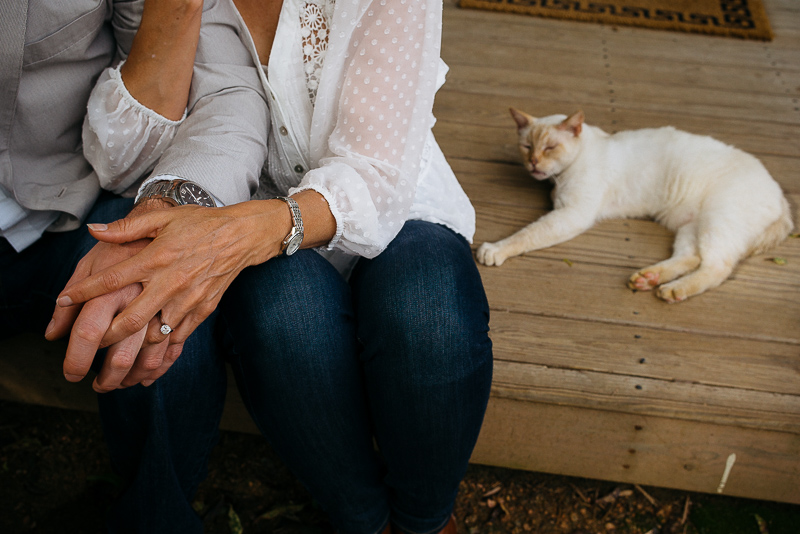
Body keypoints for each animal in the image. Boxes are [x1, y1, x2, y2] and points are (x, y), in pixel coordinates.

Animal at [476, 109, 792, 304]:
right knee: (692, 257)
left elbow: (526, 235)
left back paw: (674, 290)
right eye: (527, 146)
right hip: (691, 225)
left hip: (717, 221)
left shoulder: (572, 215)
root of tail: (782, 197)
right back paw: (650, 279)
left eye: (550, 148)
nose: (533, 163)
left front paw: (495, 249)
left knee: (717, 267)